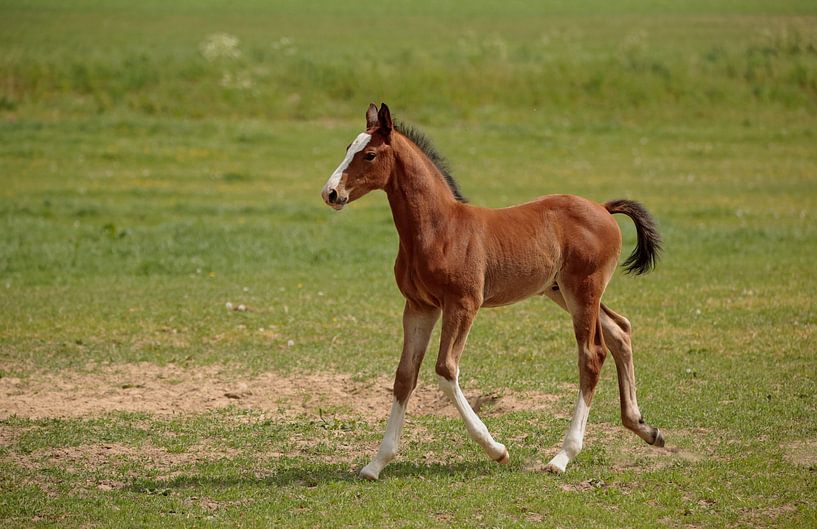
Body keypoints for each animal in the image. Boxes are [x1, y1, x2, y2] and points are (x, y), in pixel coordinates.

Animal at [320, 103, 664, 480]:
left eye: (368, 155)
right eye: (347, 149)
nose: (330, 193)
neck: (439, 229)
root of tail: (603, 208)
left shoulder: (462, 304)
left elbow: (445, 369)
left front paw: (497, 449)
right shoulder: (419, 306)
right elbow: (404, 376)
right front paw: (377, 462)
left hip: (582, 289)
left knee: (592, 354)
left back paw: (562, 456)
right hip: (561, 291)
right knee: (620, 330)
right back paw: (645, 429)